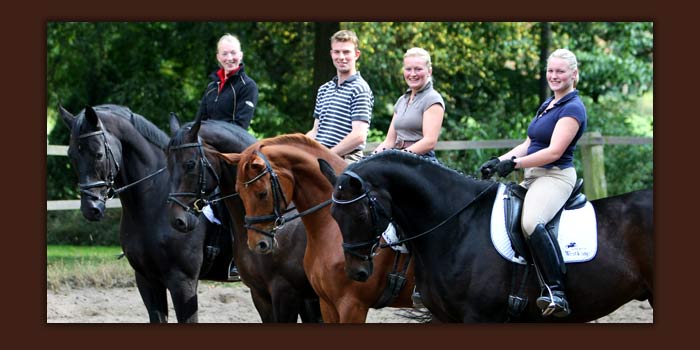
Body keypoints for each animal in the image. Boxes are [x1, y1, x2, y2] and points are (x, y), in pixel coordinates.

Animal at [219, 134, 416, 322]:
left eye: (262, 193)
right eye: (239, 192)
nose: (257, 244)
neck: (331, 228)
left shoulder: (350, 304)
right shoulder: (323, 301)